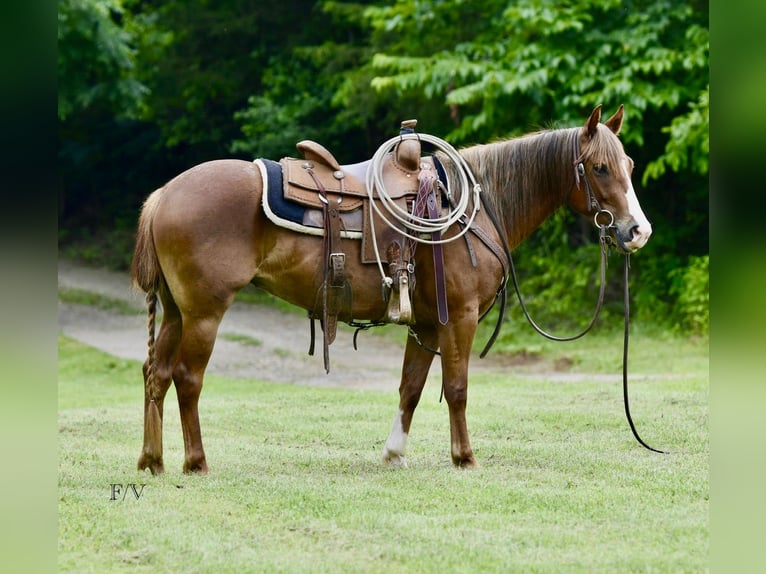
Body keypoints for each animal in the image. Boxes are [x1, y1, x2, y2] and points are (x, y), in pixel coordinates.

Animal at [131, 105, 652, 474]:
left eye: (627, 163)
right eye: (600, 168)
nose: (637, 231)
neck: (476, 208)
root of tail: (163, 195)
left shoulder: (427, 321)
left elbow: (411, 387)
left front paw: (394, 453)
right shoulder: (458, 315)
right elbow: (457, 388)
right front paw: (464, 456)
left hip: (176, 312)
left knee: (156, 374)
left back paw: (152, 460)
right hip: (204, 312)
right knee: (187, 379)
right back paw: (195, 462)